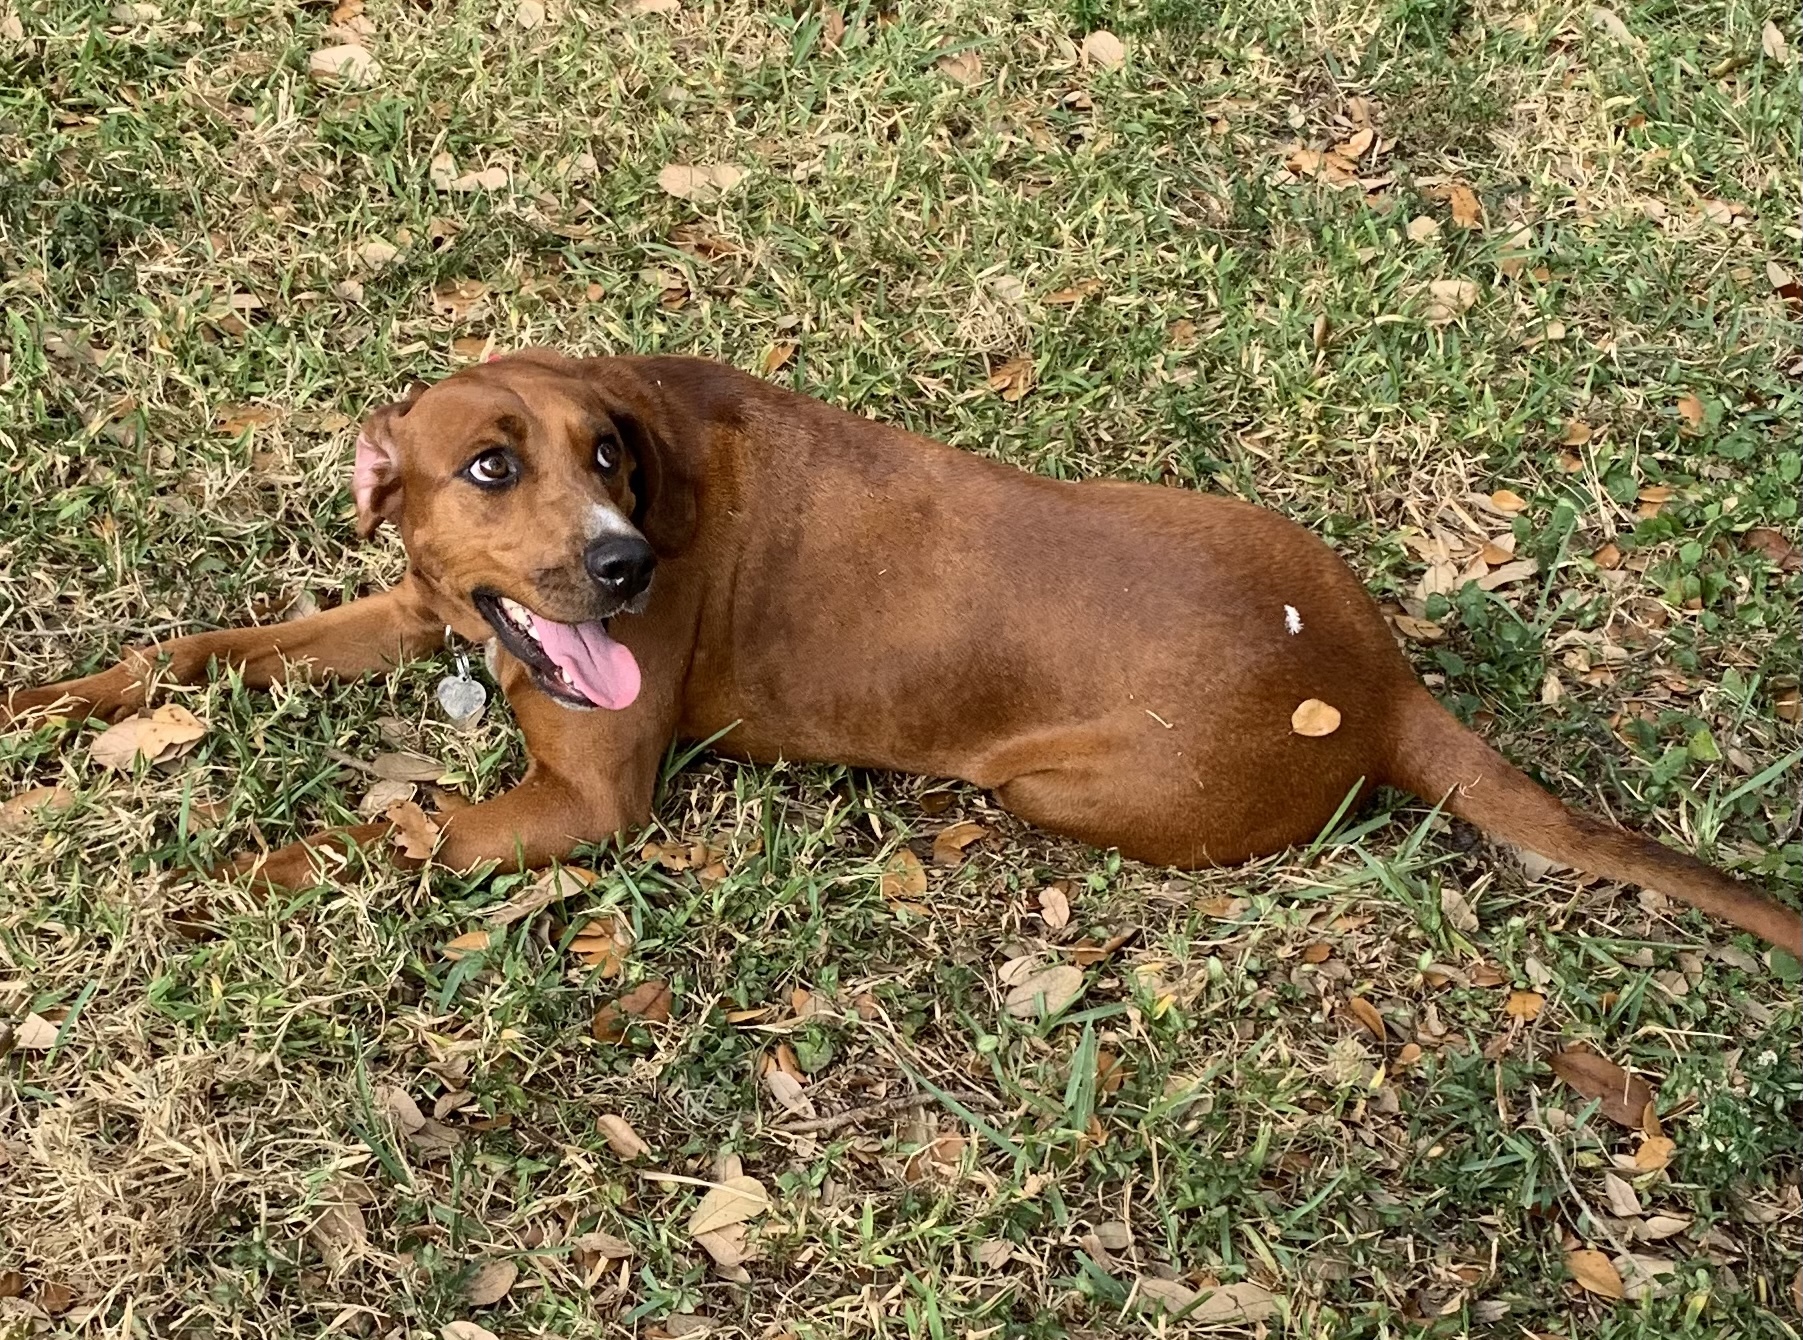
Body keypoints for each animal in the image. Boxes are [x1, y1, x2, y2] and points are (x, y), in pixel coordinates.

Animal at [3, 348, 1803, 952]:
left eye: (609, 460)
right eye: (492, 467)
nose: (624, 563)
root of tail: (1380, 680)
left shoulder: (581, 804)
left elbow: (371, 833)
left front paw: (205, 877)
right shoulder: (424, 608)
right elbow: (206, 645)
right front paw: (64, 704)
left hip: (1064, 791)